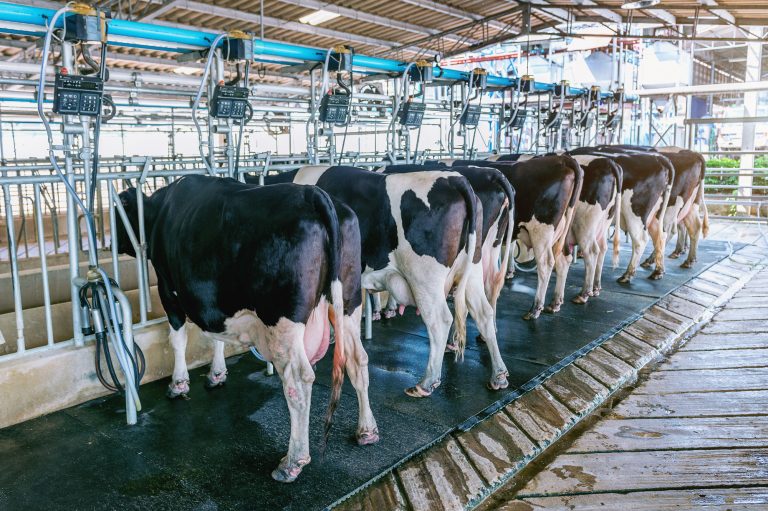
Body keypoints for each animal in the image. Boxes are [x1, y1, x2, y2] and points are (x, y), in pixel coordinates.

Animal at [114, 175, 378, 483]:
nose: (109, 244)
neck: (160, 210)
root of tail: (314, 194)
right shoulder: (213, 302)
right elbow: (215, 337)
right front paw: (216, 374)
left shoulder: (170, 291)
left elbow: (178, 339)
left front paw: (178, 384)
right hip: (348, 301)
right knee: (358, 359)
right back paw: (367, 430)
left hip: (282, 319)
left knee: (299, 380)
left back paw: (293, 461)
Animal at [261, 166, 510, 396]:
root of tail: (453, 179)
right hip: (474, 266)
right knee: (483, 311)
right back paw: (498, 375)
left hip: (425, 279)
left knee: (440, 320)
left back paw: (426, 382)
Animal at [447, 155, 584, 320]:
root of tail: (562, 159)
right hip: (564, 230)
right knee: (564, 259)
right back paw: (555, 303)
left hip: (541, 231)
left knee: (545, 263)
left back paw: (535, 308)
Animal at [569, 148, 674, 282]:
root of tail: (659, 158)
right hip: (655, 214)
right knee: (660, 235)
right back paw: (658, 271)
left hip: (635, 213)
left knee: (640, 240)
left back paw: (627, 274)